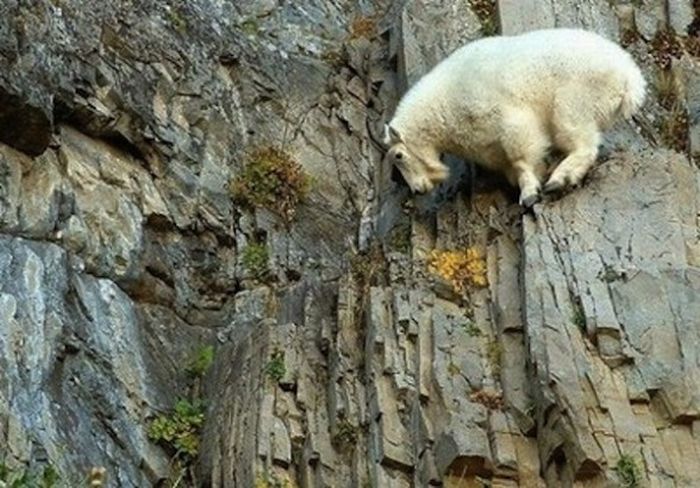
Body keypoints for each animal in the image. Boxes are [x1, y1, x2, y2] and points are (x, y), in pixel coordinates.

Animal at [386, 27, 648, 206]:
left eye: (398, 156)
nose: (418, 189)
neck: (443, 100)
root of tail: (630, 78)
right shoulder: (483, 143)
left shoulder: (503, 111)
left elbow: (521, 151)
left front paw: (529, 194)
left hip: (578, 93)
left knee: (578, 135)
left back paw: (560, 179)